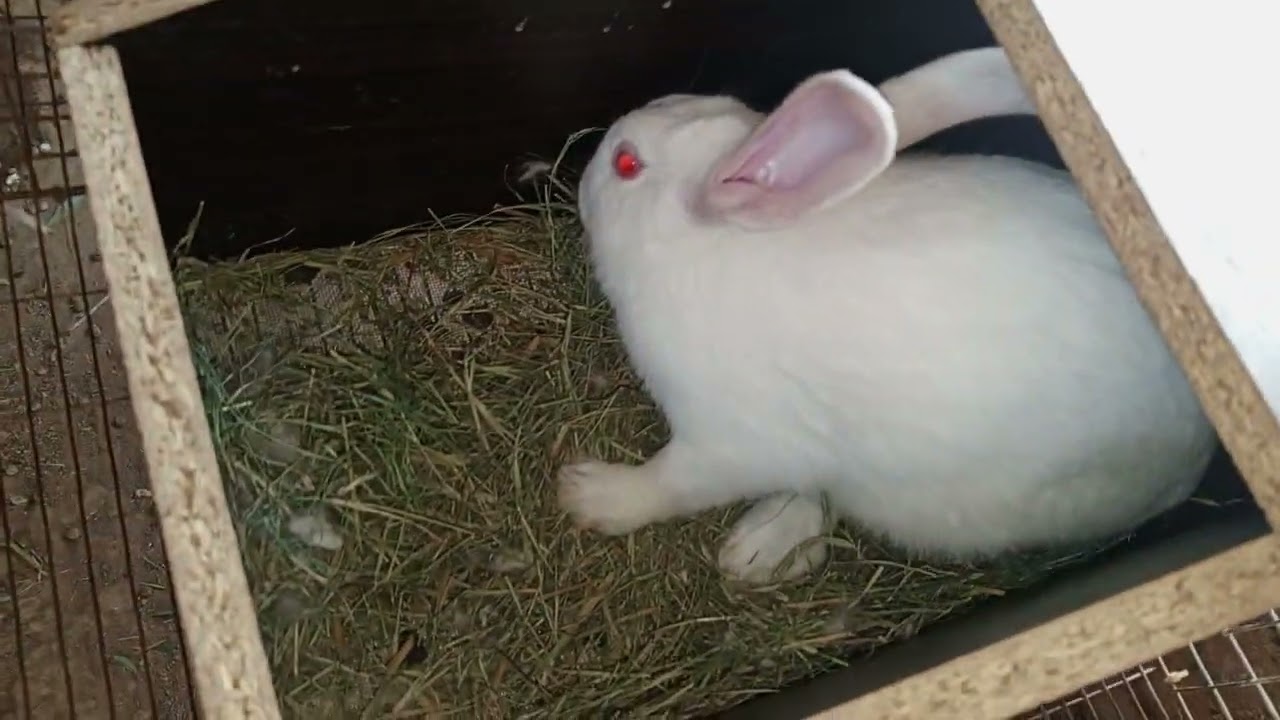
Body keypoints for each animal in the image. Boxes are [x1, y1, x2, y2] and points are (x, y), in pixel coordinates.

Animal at [556, 47, 1216, 585]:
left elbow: (670, 483)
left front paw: (589, 494)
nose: (587, 168)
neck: (704, 245)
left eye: (625, 165)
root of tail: (1199, 454)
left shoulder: (726, 442)